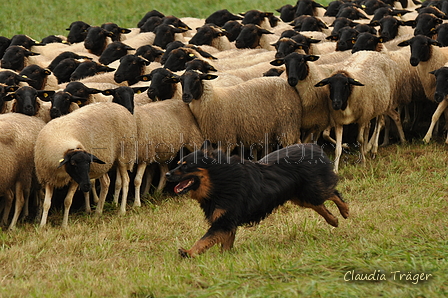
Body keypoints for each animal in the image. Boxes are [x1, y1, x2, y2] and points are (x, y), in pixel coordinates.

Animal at [166, 141, 348, 258]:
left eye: (186, 165)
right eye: (178, 163)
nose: (167, 174)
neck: (219, 179)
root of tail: (314, 147)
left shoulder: (224, 221)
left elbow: (203, 240)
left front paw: (188, 253)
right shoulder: (228, 221)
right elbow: (224, 244)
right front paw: (225, 259)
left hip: (311, 190)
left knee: (333, 193)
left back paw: (345, 210)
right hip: (301, 196)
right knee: (320, 205)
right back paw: (333, 220)